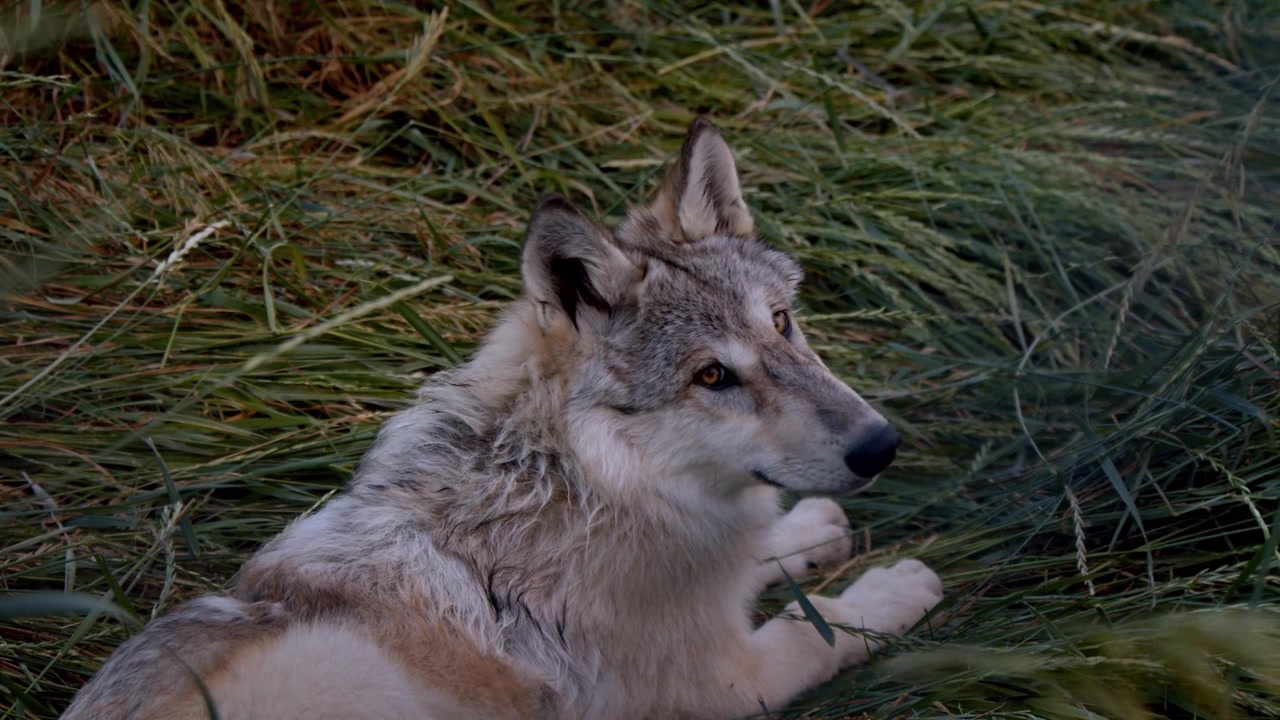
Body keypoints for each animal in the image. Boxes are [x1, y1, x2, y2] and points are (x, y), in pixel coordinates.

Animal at [64, 119, 942, 720]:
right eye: (712, 376)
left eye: (783, 323)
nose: (881, 445)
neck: (588, 483)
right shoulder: (723, 681)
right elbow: (817, 625)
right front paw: (894, 589)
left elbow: (765, 554)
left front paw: (808, 529)